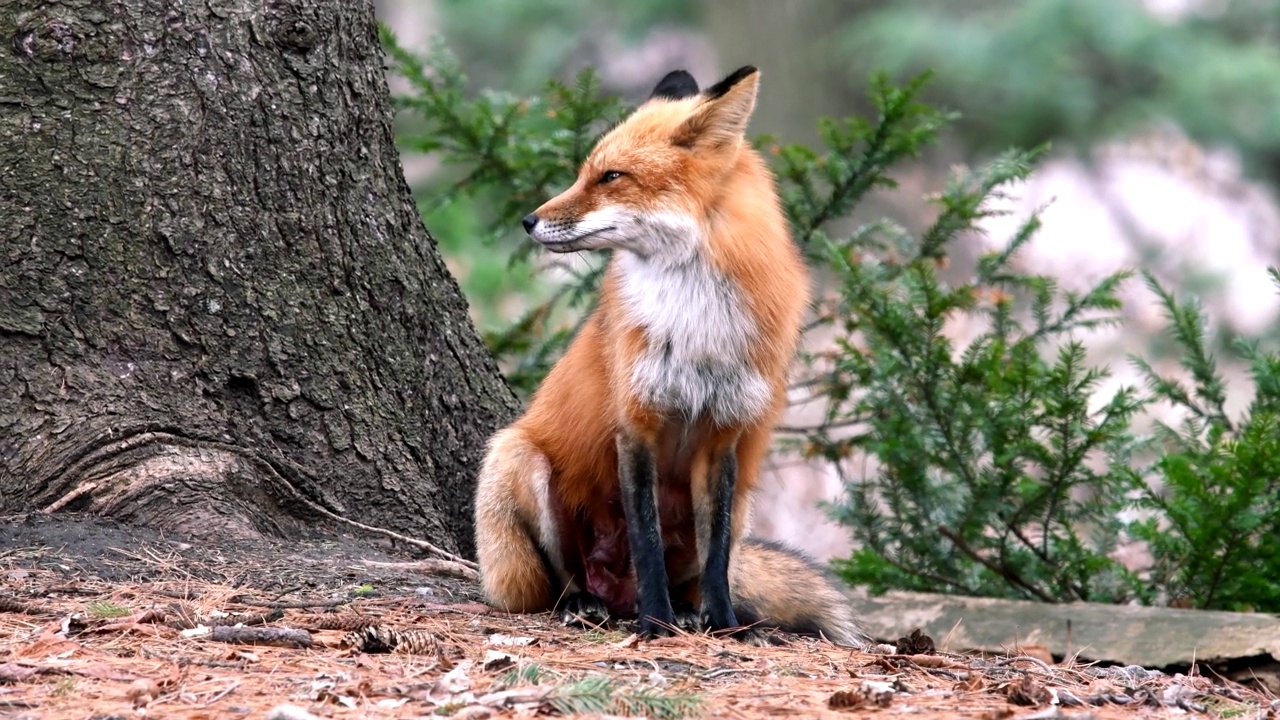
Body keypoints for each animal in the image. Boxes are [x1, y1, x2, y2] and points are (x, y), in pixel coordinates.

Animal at [476, 64, 865, 640]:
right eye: (586, 173)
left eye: (610, 177)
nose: (528, 221)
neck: (696, 319)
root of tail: (614, 591)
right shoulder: (637, 424)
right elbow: (647, 542)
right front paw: (655, 622)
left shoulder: (724, 435)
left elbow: (716, 555)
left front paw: (724, 625)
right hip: (518, 460)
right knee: (560, 580)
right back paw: (589, 604)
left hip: (744, 501)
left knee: (707, 565)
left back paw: (685, 609)